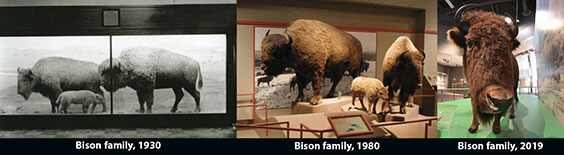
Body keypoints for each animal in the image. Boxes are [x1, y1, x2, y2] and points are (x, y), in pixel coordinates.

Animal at [448, 4, 524, 134]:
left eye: (509, 47)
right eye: (469, 43)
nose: (501, 100)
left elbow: (499, 114)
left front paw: (496, 128)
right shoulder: (473, 88)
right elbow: (473, 106)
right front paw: (473, 127)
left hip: (514, 85)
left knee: (513, 100)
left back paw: (511, 115)